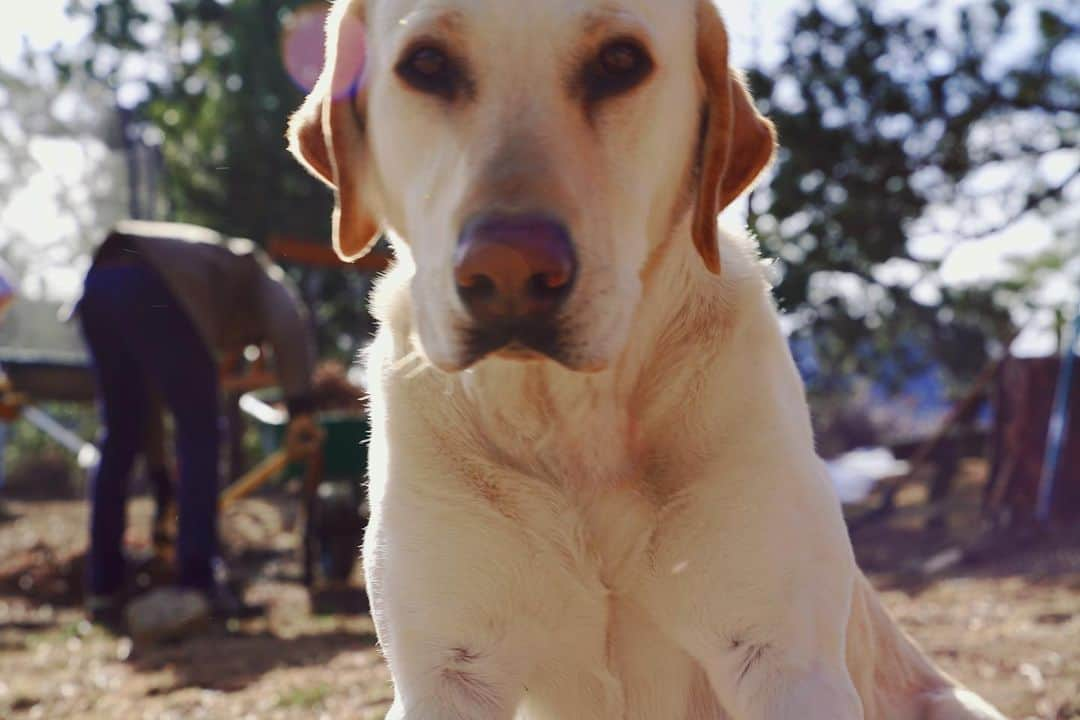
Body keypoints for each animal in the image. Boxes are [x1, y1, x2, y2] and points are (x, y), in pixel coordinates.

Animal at [291, 1, 1006, 720]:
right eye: (427, 64)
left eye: (620, 61)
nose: (511, 270)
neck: (573, 420)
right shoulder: (448, 675)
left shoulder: (787, 662)